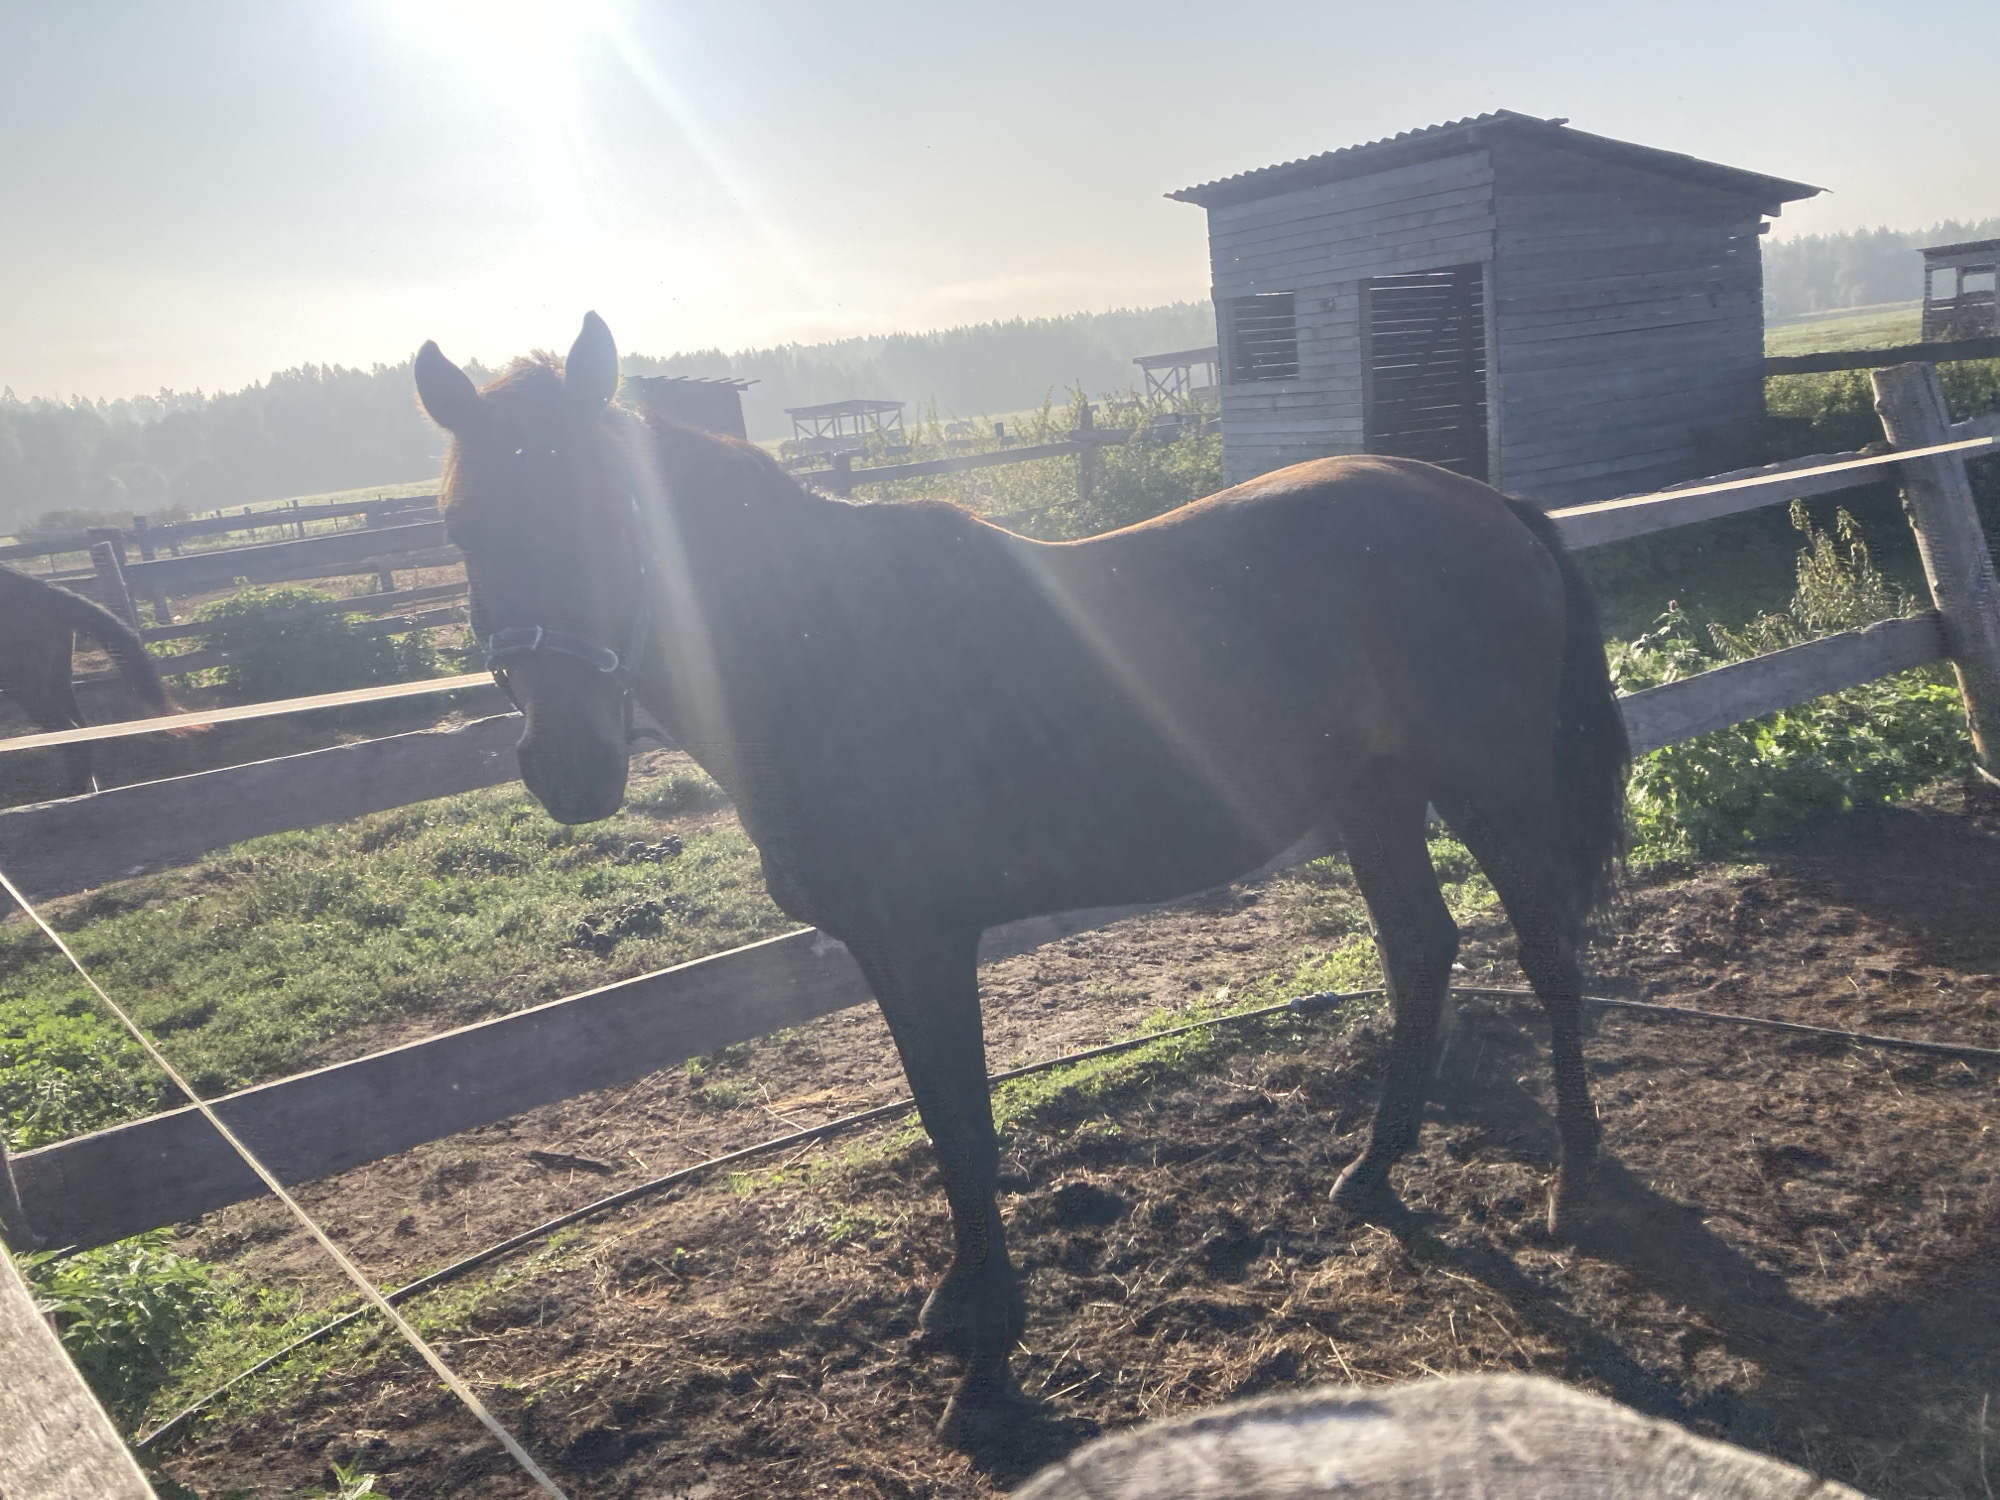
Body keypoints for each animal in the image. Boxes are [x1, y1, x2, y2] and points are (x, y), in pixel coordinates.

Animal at [413, 313, 1628, 1446]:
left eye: (617, 515)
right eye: (462, 529)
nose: (570, 765)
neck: (824, 648)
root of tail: (1485, 504)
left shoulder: (927, 940)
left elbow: (966, 1128)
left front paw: (988, 1362)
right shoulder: (886, 949)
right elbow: (937, 1119)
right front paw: (958, 1311)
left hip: (1490, 782)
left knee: (1546, 947)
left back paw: (1574, 1185)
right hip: (1375, 797)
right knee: (1421, 949)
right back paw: (1371, 1173)